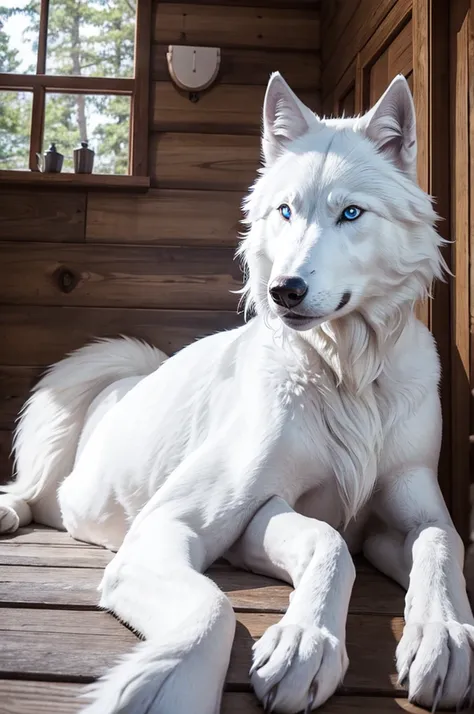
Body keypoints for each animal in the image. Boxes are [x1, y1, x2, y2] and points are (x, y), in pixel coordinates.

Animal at [0, 73, 474, 712]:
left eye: (351, 213)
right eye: (285, 211)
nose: (284, 290)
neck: (346, 372)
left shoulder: (401, 509)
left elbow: (440, 542)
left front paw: (442, 632)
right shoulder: (174, 526)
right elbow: (274, 572)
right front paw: (303, 643)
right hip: (76, 386)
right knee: (28, 487)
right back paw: (9, 510)